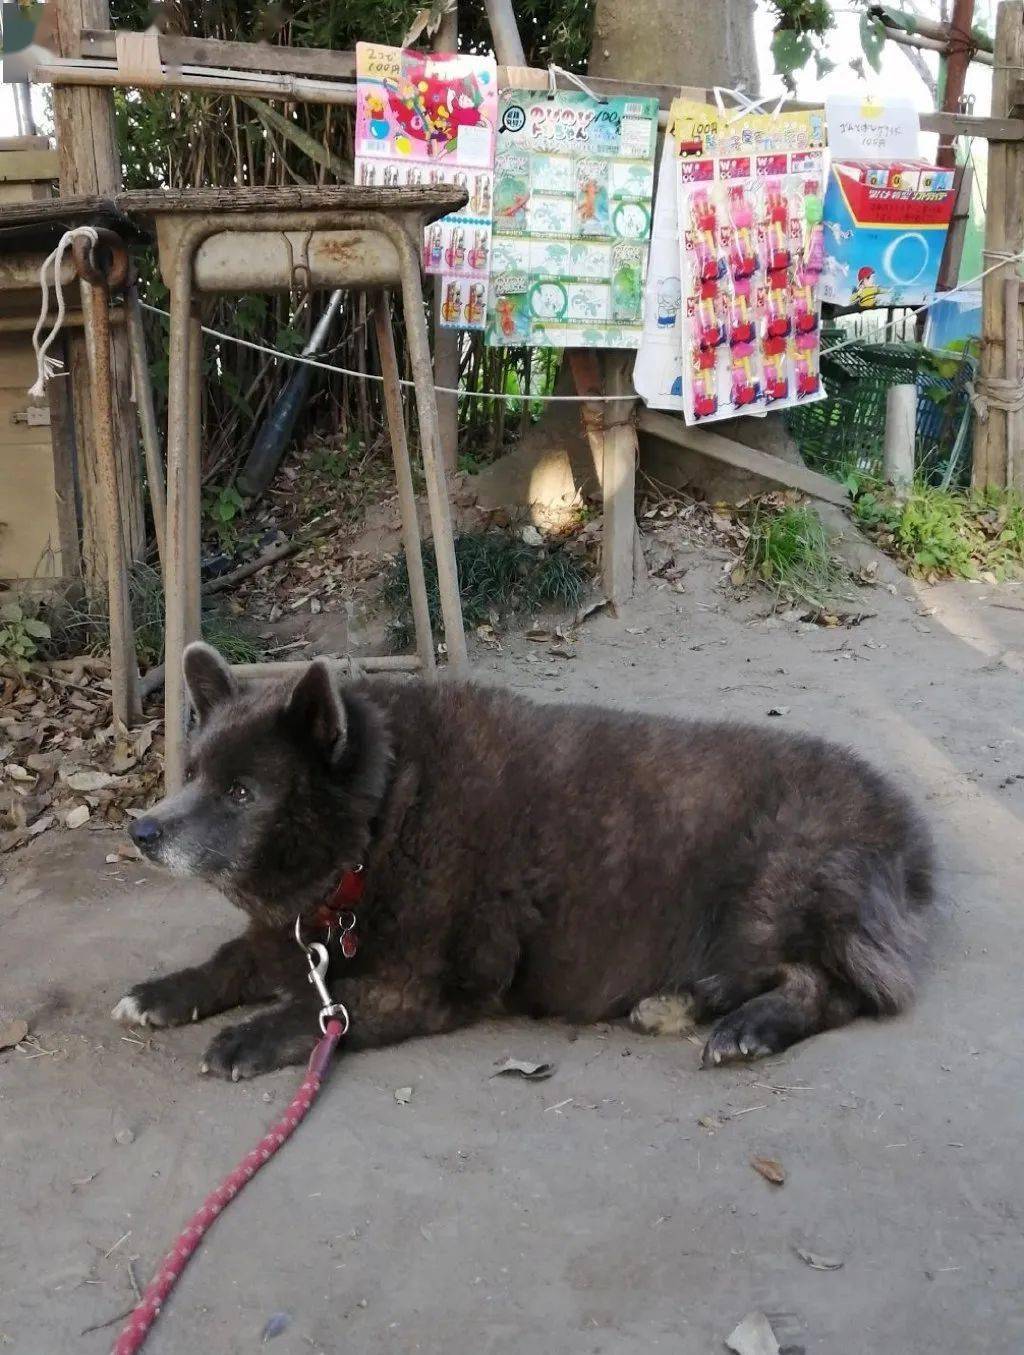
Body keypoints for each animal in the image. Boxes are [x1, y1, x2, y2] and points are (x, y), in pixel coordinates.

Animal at [111, 644, 937, 1078]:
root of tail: (903, 826)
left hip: (760, 896)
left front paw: (247, 1036)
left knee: (832, 984)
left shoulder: (418, 987)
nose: (141, 830)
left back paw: (750, 1026)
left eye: (243, 792)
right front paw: (163, 991)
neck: (379, 822)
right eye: (194, 774)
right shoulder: (291, 937)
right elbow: (230, 960)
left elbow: (317, 1011)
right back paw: (677, 1002)